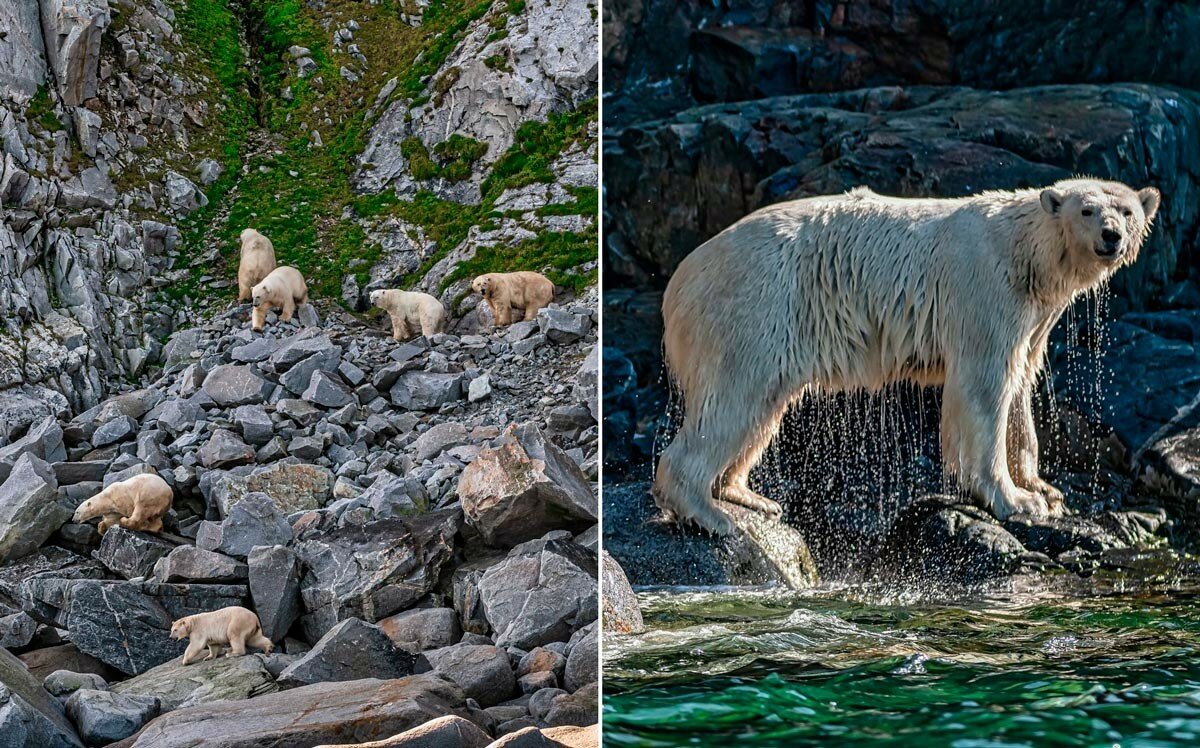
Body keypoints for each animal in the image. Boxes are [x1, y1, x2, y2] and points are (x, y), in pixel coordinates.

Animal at [657, 178, 1161, 535]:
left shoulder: (1033, 313)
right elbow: (985, 385)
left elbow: (1020, 381)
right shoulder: (984, 288)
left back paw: (747, 495)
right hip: (754, 305)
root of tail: (679, 281)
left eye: (1127, 210)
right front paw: (1014, 500)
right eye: (1087, 209)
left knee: (761, 411)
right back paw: (710, 513)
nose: (1112, 236)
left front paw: (1043, 488)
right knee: (734, 399)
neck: (1024, 251)